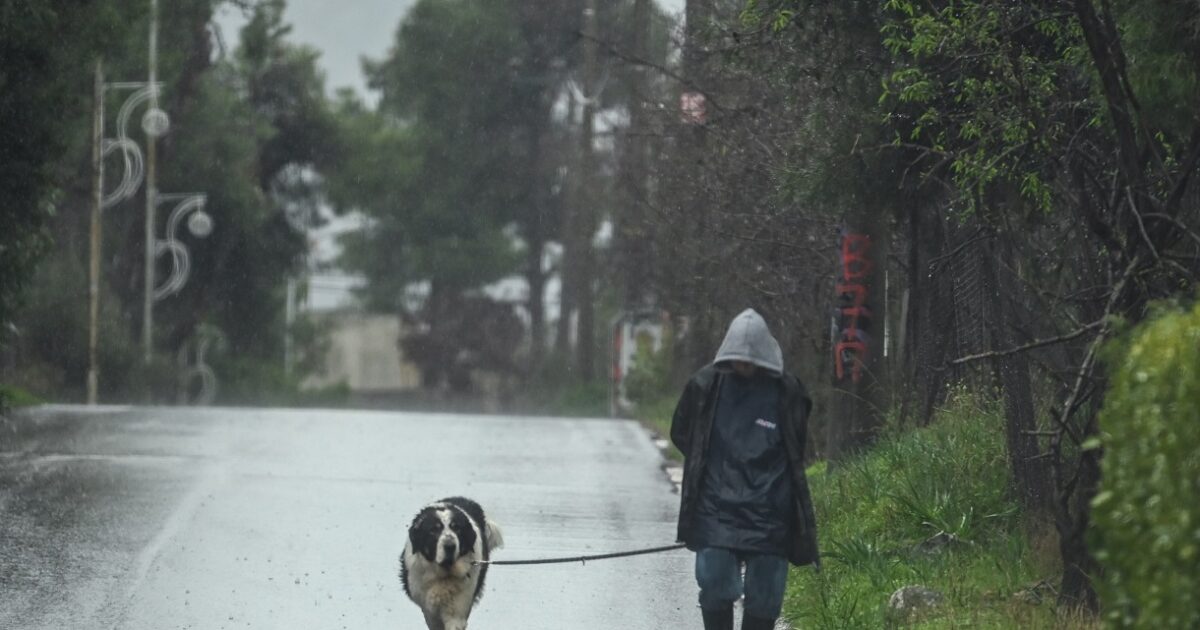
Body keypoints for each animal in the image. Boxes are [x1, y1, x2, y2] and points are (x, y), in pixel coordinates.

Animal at [398, 496, 501, 628]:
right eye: (433, 530)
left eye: (457, 528)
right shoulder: (429, 610)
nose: (450, 545)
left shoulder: (457, 610)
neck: (444, 575)